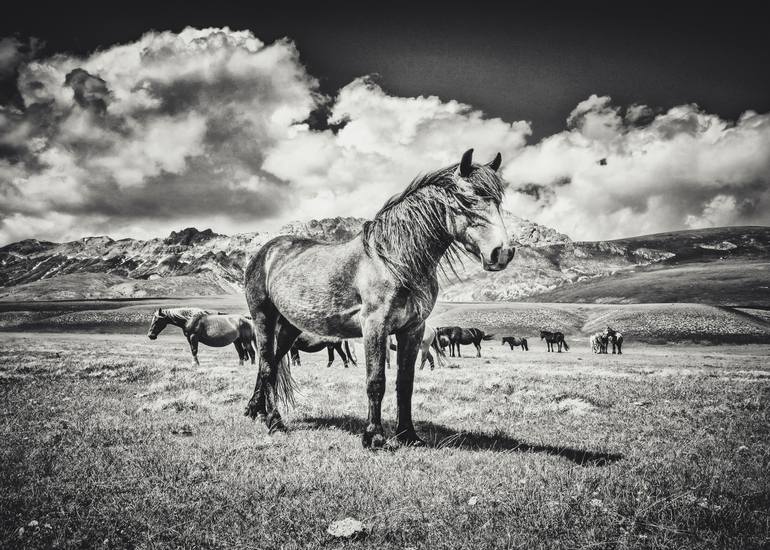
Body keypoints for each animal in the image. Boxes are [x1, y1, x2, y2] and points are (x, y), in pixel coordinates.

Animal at [243, 149, 512, 450]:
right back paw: (274, 421)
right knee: (267, 367)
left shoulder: (413, 329)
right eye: (467, 200)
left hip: (289, 327)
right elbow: (376, 381)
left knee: (269, 365)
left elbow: (405, 383)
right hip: (263, 317)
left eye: (498, 201)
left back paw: (256, 410)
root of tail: (266, 252)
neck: (394, 260)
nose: (502, 252)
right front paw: (374, 435)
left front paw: (408, 434)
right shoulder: (375, 325)